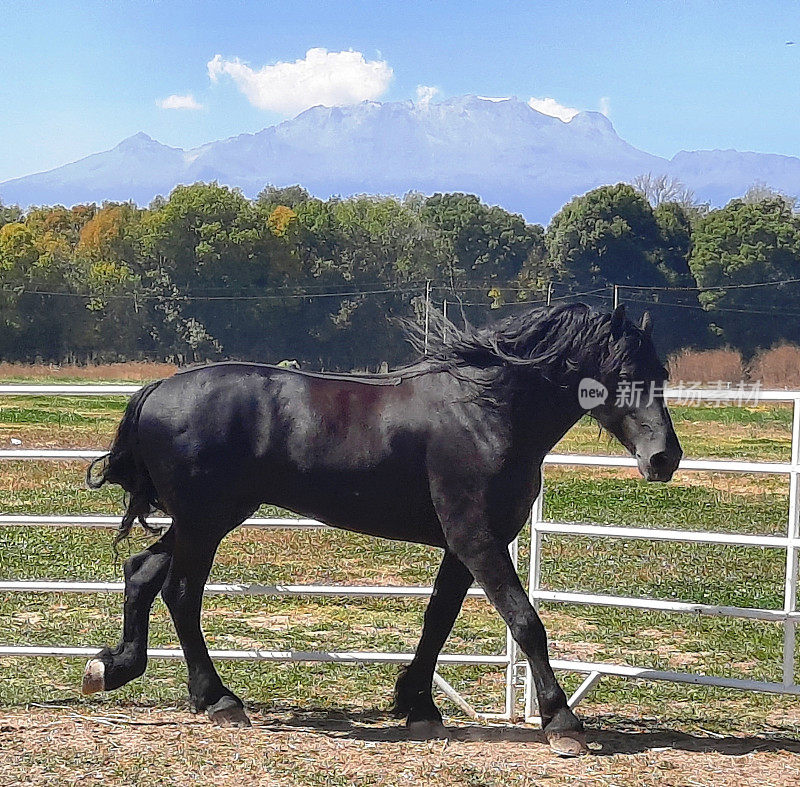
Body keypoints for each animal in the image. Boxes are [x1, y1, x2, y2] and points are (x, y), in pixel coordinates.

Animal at [83, 304, 680, 756]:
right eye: (621, 376)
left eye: (662, 376)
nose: (664, 458)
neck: (487, 412)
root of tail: (158, 389)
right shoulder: (477, 539)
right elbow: (526, 623)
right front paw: (562, 722)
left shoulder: (462, 546)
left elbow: (438, 621)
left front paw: (418, 706)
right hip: (205, 523)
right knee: (181, 593)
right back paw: (218, 699)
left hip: (204, 520)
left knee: (141, 573)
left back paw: (111, 667)